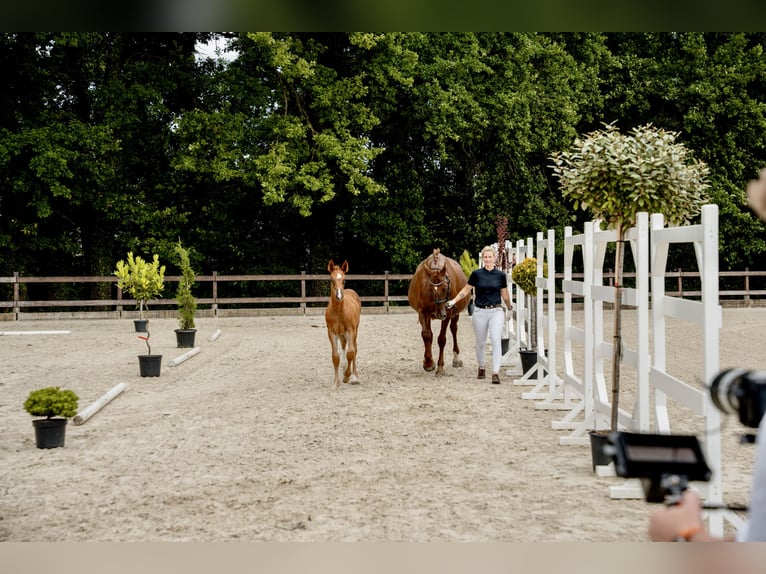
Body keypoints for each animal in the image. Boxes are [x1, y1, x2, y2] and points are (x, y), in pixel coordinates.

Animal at [324, 259, 362, 388]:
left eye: (344, 280)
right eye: (331, 280)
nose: (339, 296)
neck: (339, 312)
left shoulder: (350, 330)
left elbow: (351, 353)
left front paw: (347, 376)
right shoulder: (331, 332)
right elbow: (335, 357)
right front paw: (336, 382)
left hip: (355, 330)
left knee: (354, 349)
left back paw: (354, 375)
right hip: (341, 334)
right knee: (344, 346)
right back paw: (344, 367)